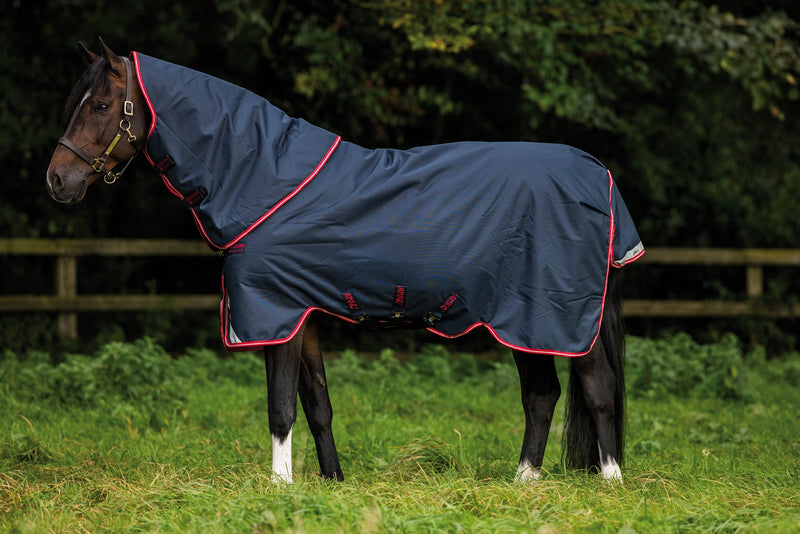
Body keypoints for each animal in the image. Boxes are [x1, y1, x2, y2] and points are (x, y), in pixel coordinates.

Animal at [47, 39, 644, 484]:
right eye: (73, 103)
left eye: (100, 106)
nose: (57, 181)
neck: (264, 176)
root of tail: (600, 176)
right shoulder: (303, 315)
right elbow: (316, 404)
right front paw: (331, 482)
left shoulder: (274, 312)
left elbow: (280, 407)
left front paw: (279, 488)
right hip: (522, 320)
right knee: (542, 395)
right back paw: (523, 482)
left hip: (563, 316)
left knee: (596, 390)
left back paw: (610, 483)